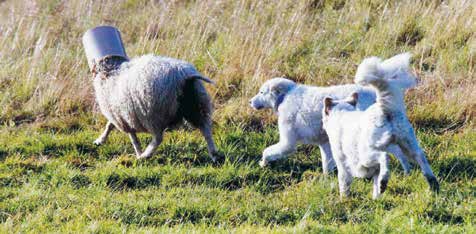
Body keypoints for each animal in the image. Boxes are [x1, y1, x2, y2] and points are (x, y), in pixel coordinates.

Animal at [249, 77, 412, 174]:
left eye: (261, 92)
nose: (250, 101)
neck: (284, 97)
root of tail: (375, 95)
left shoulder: (287, 143)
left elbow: (268, 151)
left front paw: (263, 162)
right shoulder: (324, 141)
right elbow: (327, 162)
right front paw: (327, 178)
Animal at [322, 52, 440, 198]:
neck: (342, 114)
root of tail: (383, 108)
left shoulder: (343, 164)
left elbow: (344, 183)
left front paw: (345, 198)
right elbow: (375, 185)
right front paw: (376, 198)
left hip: (367, 153)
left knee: (384, 157)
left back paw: (385, 180)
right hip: (407, 143)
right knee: (420, 157)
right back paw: (433, 183)